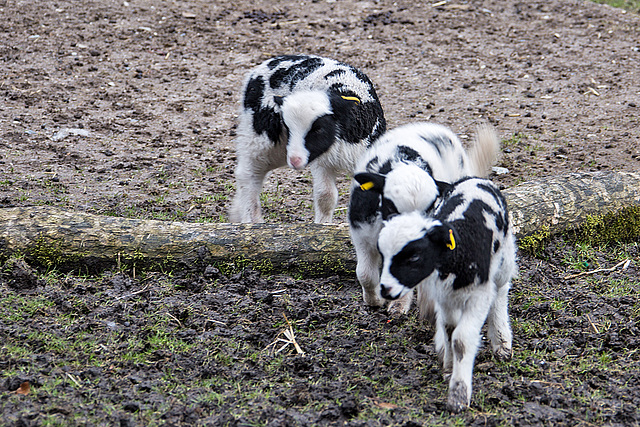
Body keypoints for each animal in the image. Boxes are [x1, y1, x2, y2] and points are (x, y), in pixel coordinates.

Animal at [229, 53, 384, 224]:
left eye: (319, 129)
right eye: (287, 127)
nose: (295, 160)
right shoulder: (322, 163)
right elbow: (326, 195)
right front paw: (323, 225)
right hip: (260, 138)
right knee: (248, 174)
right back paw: (251, 219)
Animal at [344, 122, 500, 312]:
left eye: (430, 208)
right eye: (390, 205)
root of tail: (432, 126)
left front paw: (398, 305)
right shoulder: (361, 231)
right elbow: (365, 274)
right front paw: (373, 300)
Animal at [378, 177, 516, 414]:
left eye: (414, 256)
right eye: (383, 254)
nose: (384, 289)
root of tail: (473, 179)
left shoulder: (479, 296)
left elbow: (461, 339)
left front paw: (458, 396)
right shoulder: (445, 297)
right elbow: (450, 330)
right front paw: (450, 369)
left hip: (504, 256)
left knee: (500, 291)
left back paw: (501, 340)